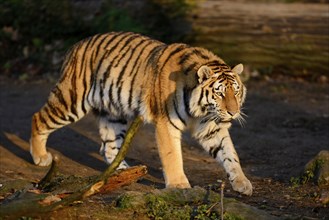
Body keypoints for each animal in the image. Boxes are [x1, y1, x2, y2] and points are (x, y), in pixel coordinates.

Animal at [30, 31, 251, 195]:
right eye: (219, 93)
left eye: (236, 91)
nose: (233, 113)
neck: (201, 111)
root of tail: (76, 45)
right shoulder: (166, 123)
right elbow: (172, 156)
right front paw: (179, 185)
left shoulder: (211, 128)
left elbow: (230, 153)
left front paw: (242, 183)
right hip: (71, 100)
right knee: (38, 118)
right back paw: (41, 157)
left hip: (113, 113)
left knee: (110, 147)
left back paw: (122, 171)